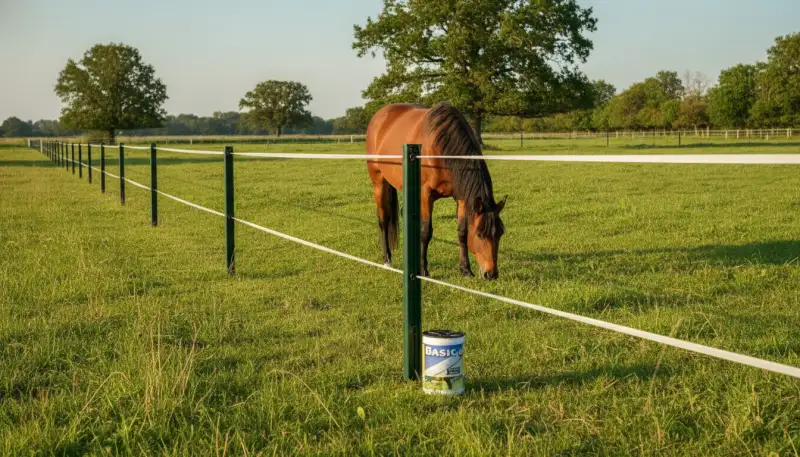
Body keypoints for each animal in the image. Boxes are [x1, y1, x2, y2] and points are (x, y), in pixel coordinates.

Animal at [366, 102, 507, 280]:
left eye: (500, 233)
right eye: (480, 234)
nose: (491, 274)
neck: (441, 148)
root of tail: (380, 114)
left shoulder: (462, 198)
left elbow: (462, 232)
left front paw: (465, 270)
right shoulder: (426, 195)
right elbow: (426, 232)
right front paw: (424, 271)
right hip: (379, 183)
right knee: (383, 219)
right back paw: (387, 259)